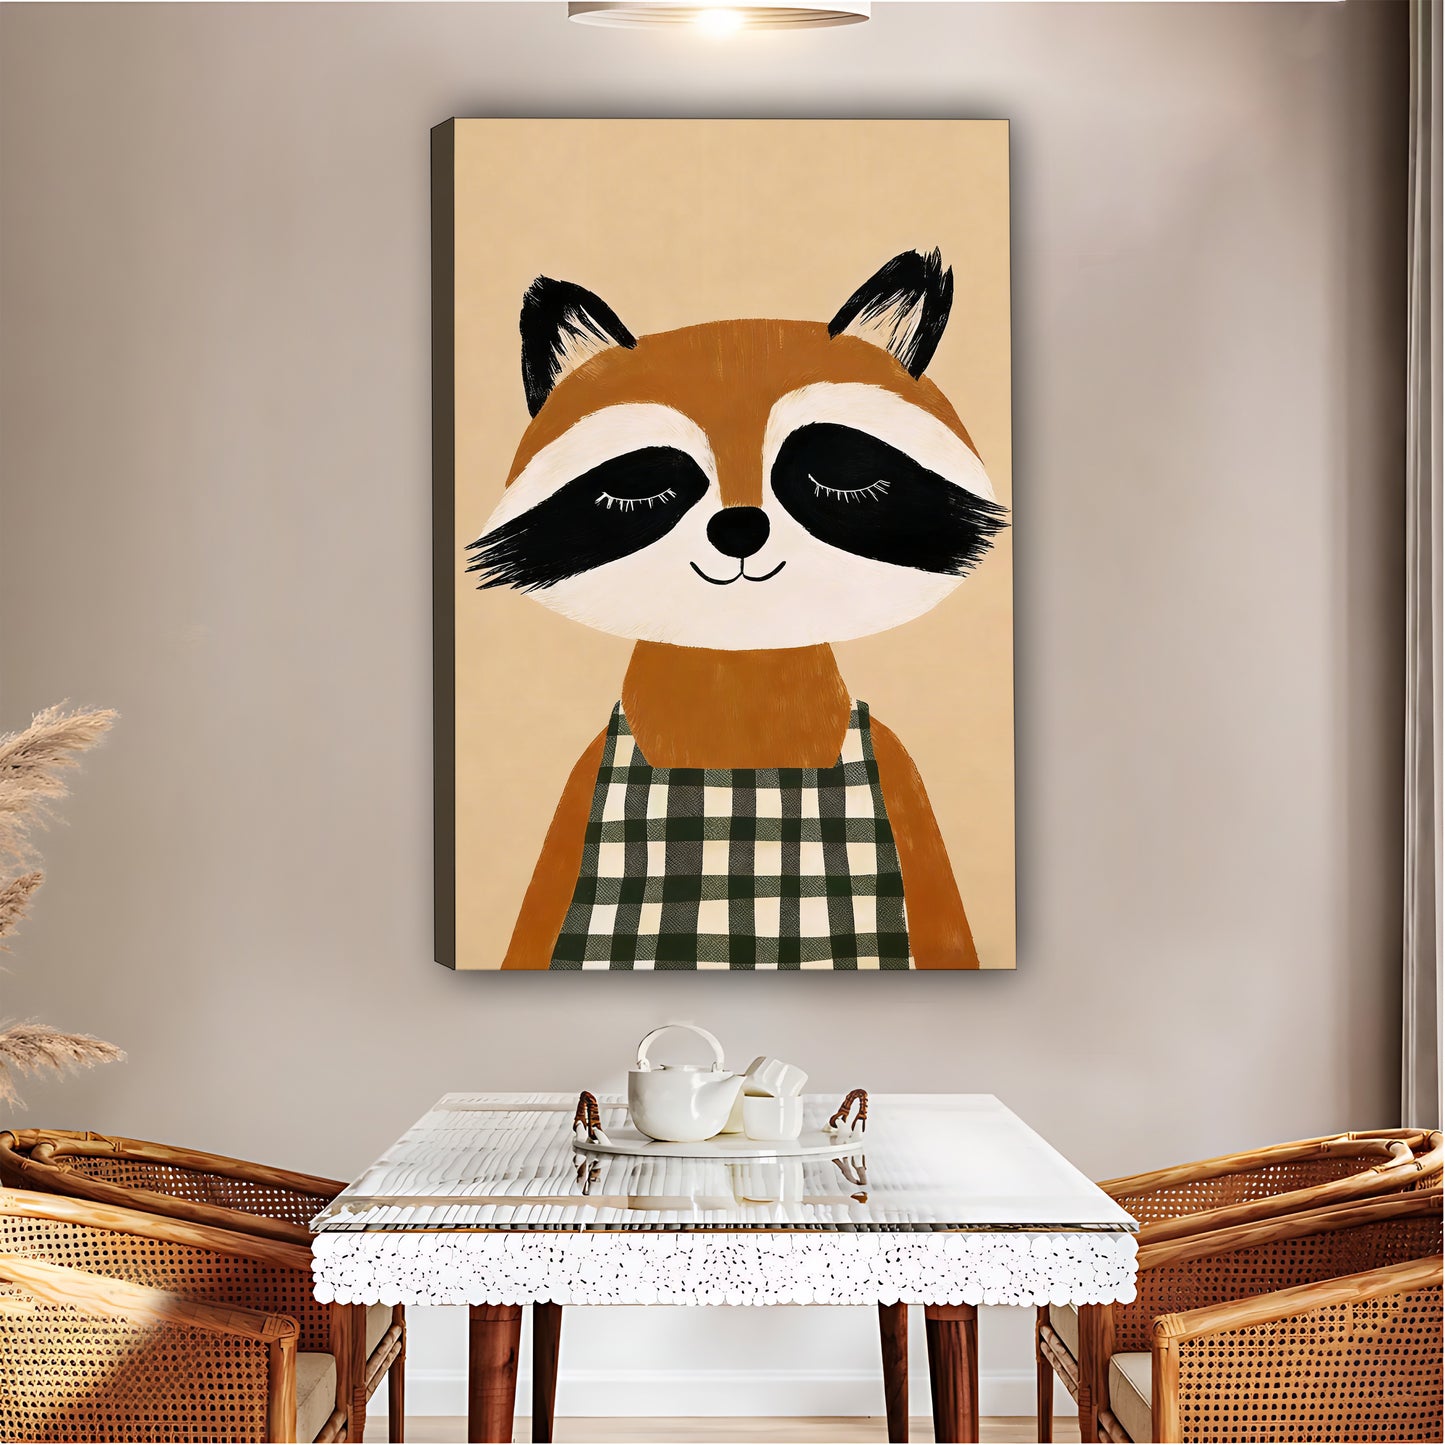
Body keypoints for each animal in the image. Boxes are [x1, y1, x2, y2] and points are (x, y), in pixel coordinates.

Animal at [469, 250, 1007, 970]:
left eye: (839, 473)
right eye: (642, 486)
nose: (740, 528)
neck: (740, 690)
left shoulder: (903, 783)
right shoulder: (577, 795)